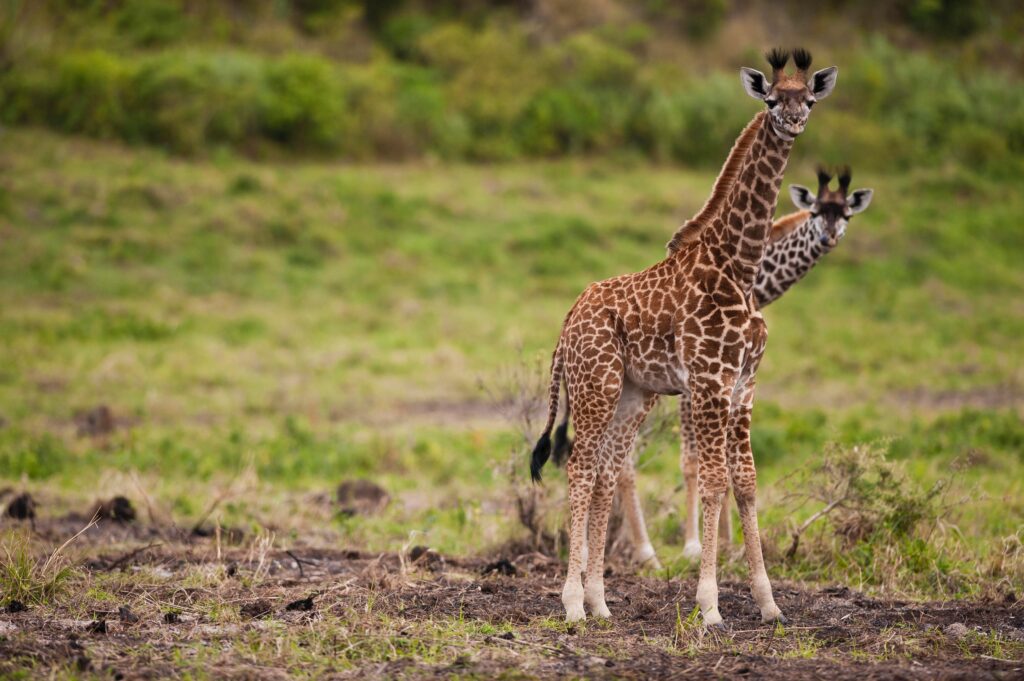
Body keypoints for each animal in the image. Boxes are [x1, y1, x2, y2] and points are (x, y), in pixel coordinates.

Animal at [532, 45, 835, 622]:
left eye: (807, 98)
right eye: (771, 98)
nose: (793, 121)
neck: (738, 265)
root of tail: (567, 321)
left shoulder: (744, 386)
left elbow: (747, 481)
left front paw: (768, 603)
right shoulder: (711, 382)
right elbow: (714, 479)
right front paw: (709, 605)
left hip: (632, 394)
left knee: (605, 472)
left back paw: (599, 602)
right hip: (597, 386)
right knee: (581, 467)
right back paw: (573, 604)